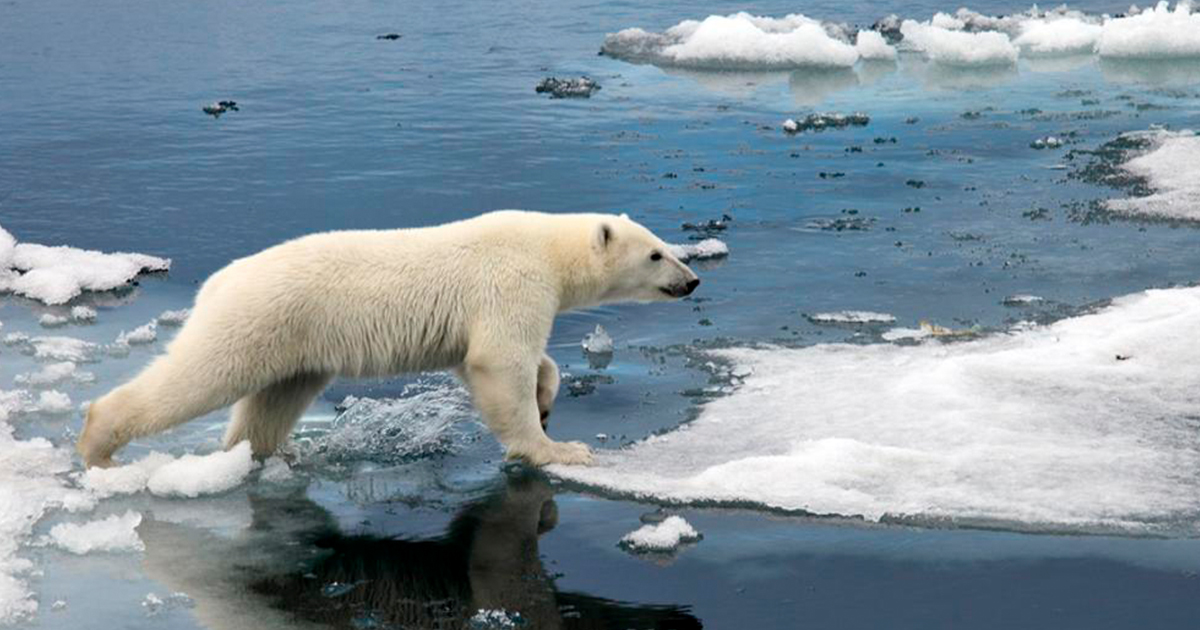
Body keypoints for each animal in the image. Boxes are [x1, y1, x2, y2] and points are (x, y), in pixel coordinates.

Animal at [77, 210, 700, 468]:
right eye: (656, 253)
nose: (692, 280)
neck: (547, 248)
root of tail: (218, 281)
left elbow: (498, 361)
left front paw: (547, 399)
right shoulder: (510, 282)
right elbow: (500, 362)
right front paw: (557, 448)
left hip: (297, 343)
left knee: (273, 401)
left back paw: (264, 453)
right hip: (257, 320)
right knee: (200, 376)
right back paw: (99, 445)